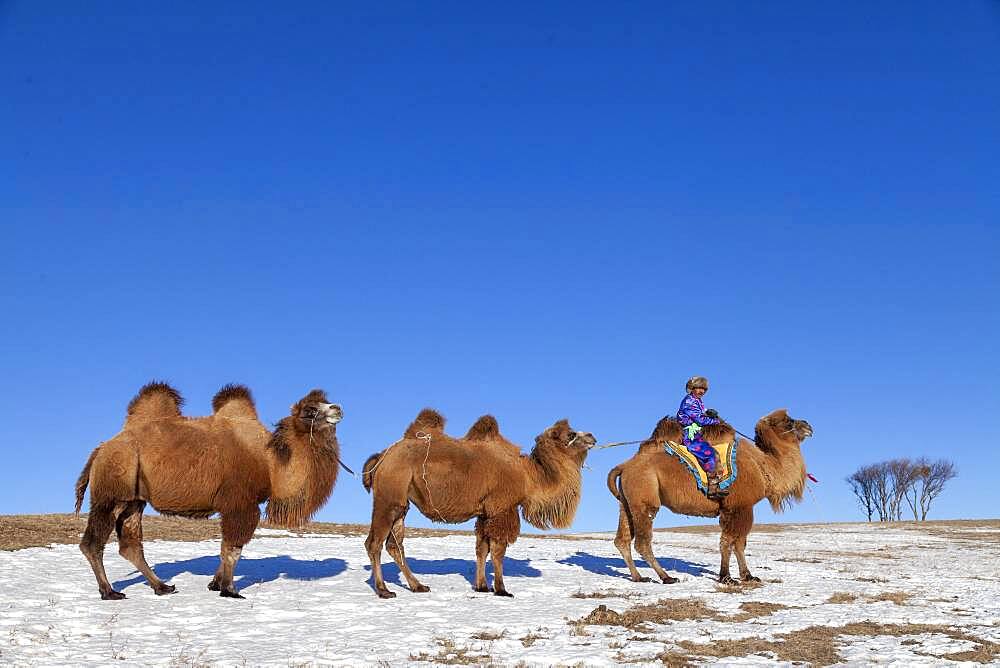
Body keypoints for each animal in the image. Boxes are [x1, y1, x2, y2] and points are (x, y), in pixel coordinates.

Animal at [72, 380, 342, 600]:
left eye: (326, 402)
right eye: (310, 410)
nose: (337, 408)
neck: (271, 464)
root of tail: (100, 449)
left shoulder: (233, 506)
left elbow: (225, 547)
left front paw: (215, 584)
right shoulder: (241, 503)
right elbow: (233, 549)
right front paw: (230, 590)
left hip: (134, 499)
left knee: (130, 544)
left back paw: (162, 587)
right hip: (112, 490)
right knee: (92, 543)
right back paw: (109, 591)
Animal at [360, 410, 592, 596]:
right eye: (571, 434)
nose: (592, 436)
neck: (528, 476)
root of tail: (382, 456)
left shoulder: (484, 512)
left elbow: (482, 548)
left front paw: (481, 586)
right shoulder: (501, 508)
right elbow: (498, 550)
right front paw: (501, 589)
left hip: (401, 504)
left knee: (394, 545)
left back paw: (418, 586)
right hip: (388, 498)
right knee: (374, 543)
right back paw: (383, 590)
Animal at [608, 408, 812, 584]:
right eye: (788, 421)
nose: (808, 426)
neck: (762, 466)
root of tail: (624, 466)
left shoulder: (733, 509)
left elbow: (739, 543)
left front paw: (747, 576)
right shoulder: (739, 507)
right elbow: (730, 542)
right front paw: (727, 577)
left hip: (628, 502)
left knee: (622, 539)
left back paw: (638, 577)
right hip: (645, 499)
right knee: (642, 542)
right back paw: (666, 577)